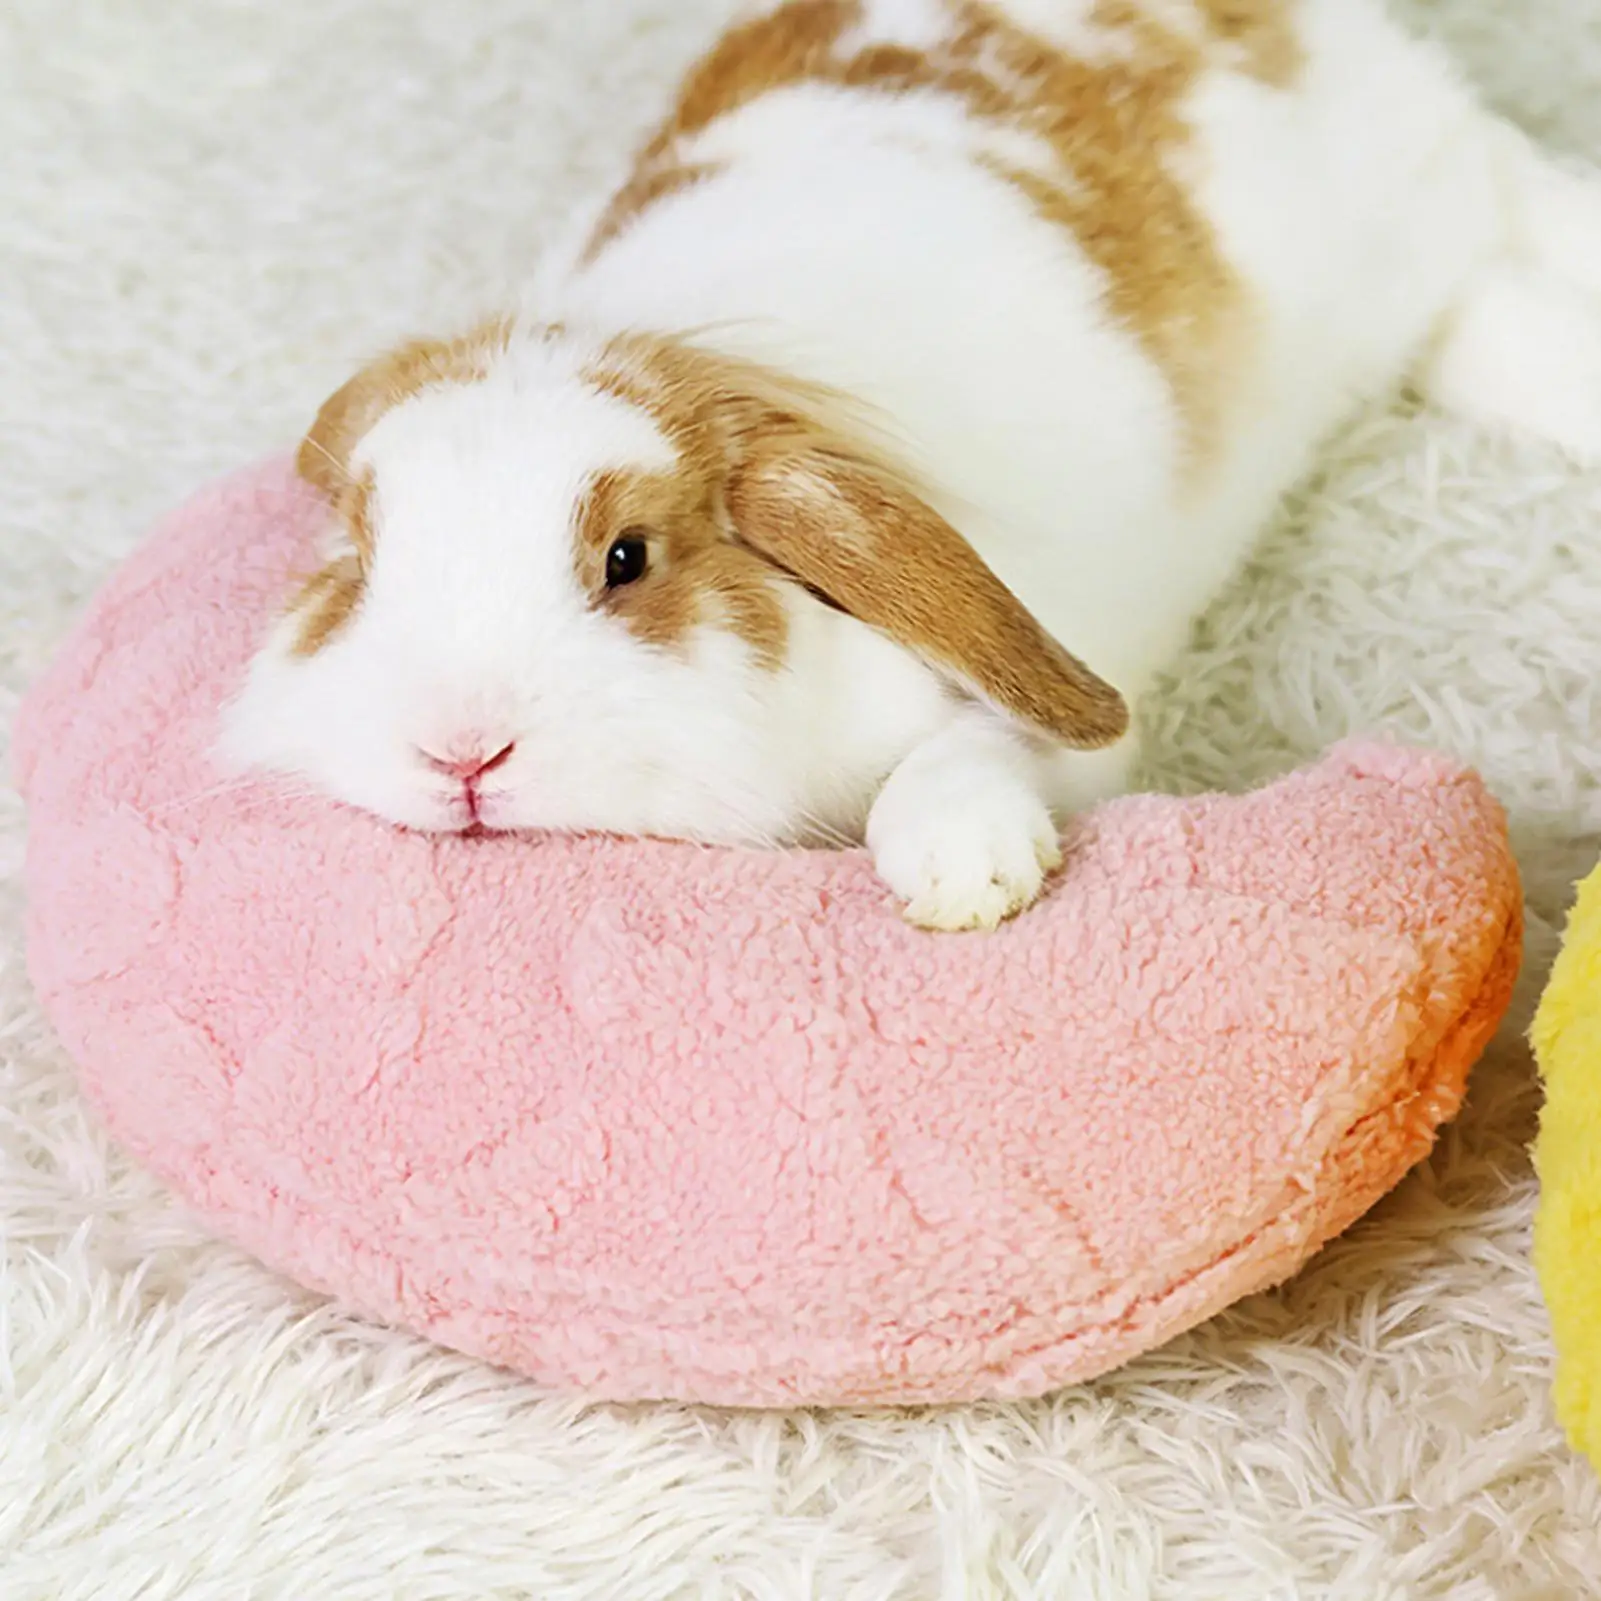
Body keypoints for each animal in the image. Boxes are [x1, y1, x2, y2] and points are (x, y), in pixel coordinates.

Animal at [219, 0, 1601, 931]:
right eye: (359, 566)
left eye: (626, 558)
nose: (460, 755)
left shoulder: (1041, 698)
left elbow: (974, 753)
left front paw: (964, 872)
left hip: (1414, 182)